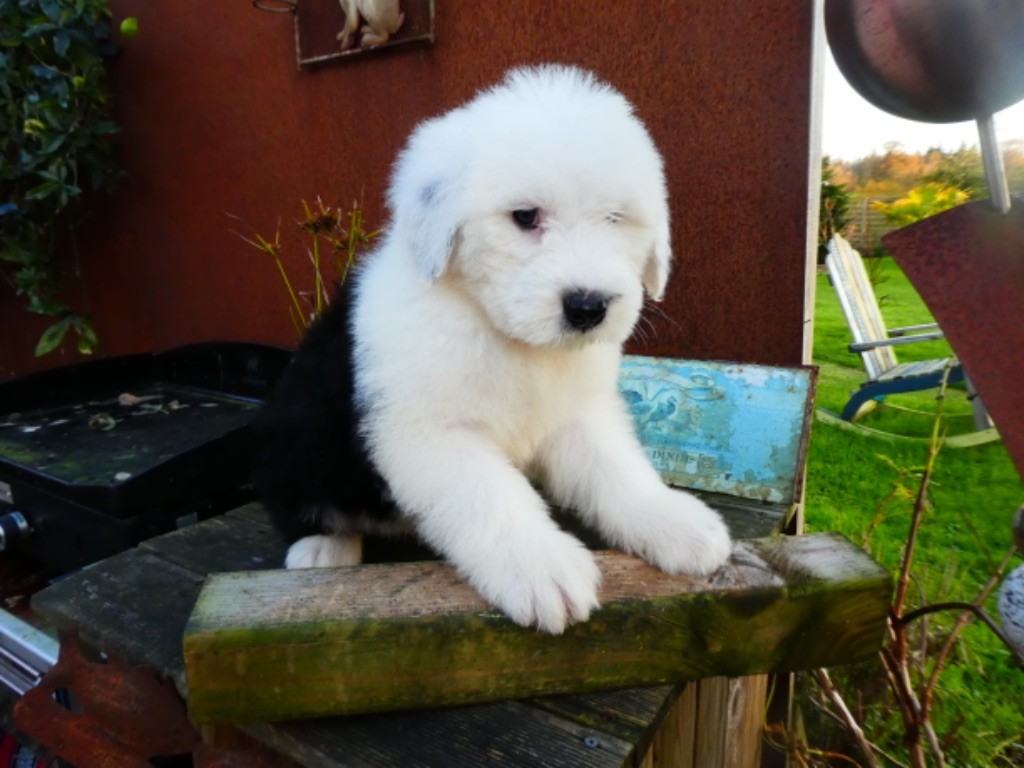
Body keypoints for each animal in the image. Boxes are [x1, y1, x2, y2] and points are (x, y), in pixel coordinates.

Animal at [252, 65, 732, 634]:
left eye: (616, 218)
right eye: (525, 216)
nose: (588, 307)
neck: (509, 336)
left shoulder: (576, 414)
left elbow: (615, 468)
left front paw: (672, 520)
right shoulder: (430, 433)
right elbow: (490, 495)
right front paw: (542, 567)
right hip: (298, 437)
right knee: (303, 503)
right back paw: (323, 550)